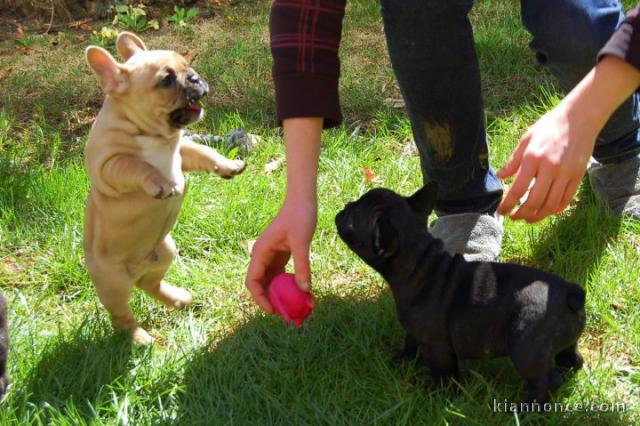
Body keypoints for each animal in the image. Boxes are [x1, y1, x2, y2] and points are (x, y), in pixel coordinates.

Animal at [85, 33, 245, 346]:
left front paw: (228, 165)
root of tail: (135, 272)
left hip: (165, 250)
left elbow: (203, 151)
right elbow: (135, 166)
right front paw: (161, 183)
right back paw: (139, 337)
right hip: (112, 282)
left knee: (151, 284)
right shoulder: (107, 166)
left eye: (186, 65)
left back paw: (178, 298)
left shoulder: (182, 150)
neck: (153, 135)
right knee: (120, 314)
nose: (194, 77)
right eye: (167, 80)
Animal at [338, 184, 588, 402]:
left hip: (526, 349)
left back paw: (526, 407)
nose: (344, 207)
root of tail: (569, 292)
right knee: (570, 357)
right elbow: (410, 342)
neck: (419, 260)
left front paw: (437, 395)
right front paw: (403, 359)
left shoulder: (437, 346)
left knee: (546, 381)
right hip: (561, 342)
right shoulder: (416, 332)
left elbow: (443, 372)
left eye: (350, 219)